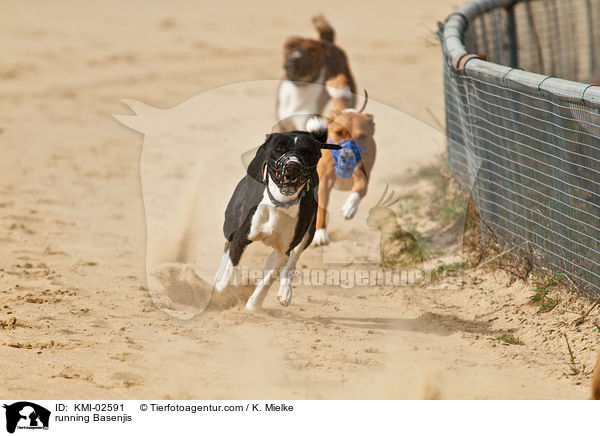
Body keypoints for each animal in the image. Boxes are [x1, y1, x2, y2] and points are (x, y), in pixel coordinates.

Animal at [213, 118, 340, 310]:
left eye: (306, 152)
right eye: (279, 148)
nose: (293, 165)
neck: (280, 202)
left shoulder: (282, 250)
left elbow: (267, 281)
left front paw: (252, 308)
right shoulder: (241, 236)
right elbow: (231, 264)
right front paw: (222, 288)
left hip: (309, 232)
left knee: (292, 262)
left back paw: (285, 292)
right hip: (231, 224)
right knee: (227, 249)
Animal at [312, 103, 378, 245]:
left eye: (362, 137)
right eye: (339, 133)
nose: (347, 155)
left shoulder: (362, 177)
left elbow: (359, 190)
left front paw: (350, 207)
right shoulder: (324, 183)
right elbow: (322, 208)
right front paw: (320, 233)